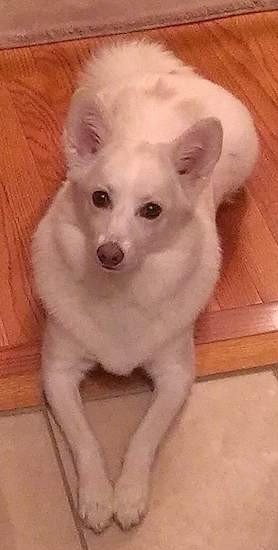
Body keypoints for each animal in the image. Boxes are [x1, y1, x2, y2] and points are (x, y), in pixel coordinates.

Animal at [32, 40, 258, 536]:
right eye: (100, 198)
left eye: (151, 210)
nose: (109, 253)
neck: (120, 291)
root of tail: (165, 75)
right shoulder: (58, 374)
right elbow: (85, 441)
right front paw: (98, 497)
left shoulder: (176, 376)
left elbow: (144, 436)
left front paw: (130, 493)